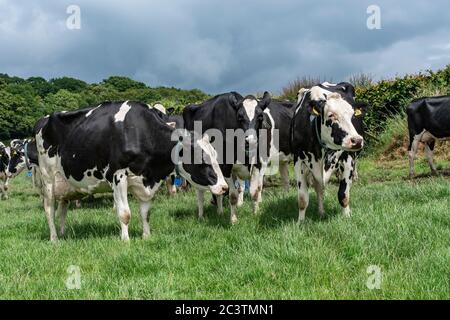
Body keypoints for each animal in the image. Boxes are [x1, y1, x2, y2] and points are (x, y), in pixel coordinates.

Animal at [35, 101, 227, 241]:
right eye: (202, 160)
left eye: (215, 155)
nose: (224, 187)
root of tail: (43, 120)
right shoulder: (118, 175)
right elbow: (125, 213)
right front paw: (125, 241)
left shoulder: (146, 180)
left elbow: (146, 214)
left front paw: (146, 236)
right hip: (47, 177)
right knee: (49, 209)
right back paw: (54, 238)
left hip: (65, 185)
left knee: (62, 209)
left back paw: (63, 233)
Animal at [183, 91, 270, 224]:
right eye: (239, 117)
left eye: (260, 116)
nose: (250, 141)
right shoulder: (225, 167)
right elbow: (232, 195)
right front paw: (233, 220)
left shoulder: (258, 164)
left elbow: (254, 192)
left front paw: (256, 214)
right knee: (201, 193)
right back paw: (202, 215)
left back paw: (220, 212)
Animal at [292, 82, 370, 222]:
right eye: (331, 115)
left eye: (352, 115)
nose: (357, 140)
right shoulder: (298, 161)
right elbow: (302, 198)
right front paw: (300, 222)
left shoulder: (348, 158)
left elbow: (343, 194)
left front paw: (347, 216)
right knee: (319, 189)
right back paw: (321, 212)